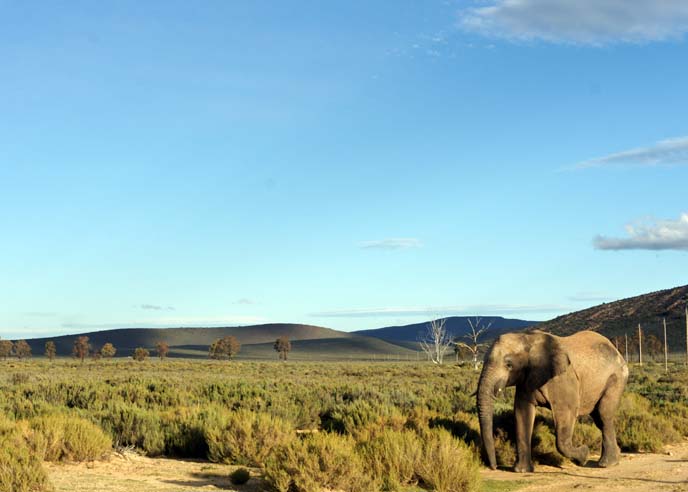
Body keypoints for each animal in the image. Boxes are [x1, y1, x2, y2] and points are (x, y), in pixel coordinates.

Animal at [476, 330, 628, 472]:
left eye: (509, 365)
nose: (494, 467)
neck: (528, 339)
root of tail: (616, 351)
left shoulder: (563, 379)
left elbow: (566, 413)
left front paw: (584, 456)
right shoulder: (526, 379)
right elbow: (522, 414)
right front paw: (522, 471)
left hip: (616, 378)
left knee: (603, 415)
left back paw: (606, 464)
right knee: (599, 419)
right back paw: (615, 458)